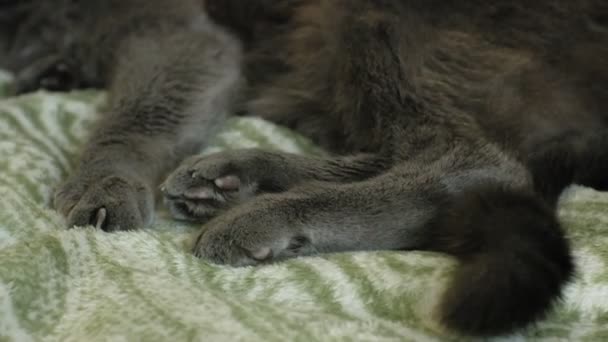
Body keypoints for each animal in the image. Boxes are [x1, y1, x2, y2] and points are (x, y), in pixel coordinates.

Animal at [4, 0, 608, 336]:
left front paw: (102, 184)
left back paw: (265, 215)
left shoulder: (178, 32)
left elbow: (139, 112)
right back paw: (232, 178)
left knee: (472, 160)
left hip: (376, 20)